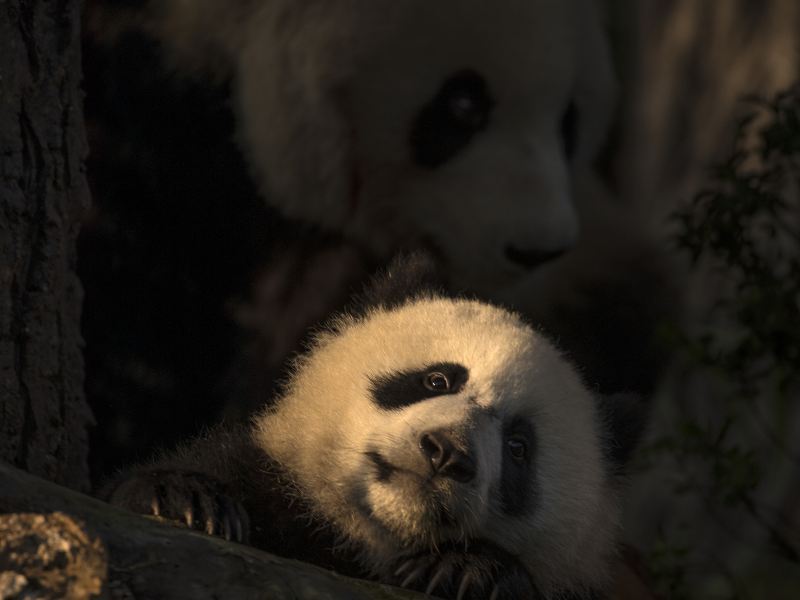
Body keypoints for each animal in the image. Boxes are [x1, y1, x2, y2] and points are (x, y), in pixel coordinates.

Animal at [106, 255, 644, 596]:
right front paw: (187, 501)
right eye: (436, 379)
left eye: (518, 447)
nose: (447, 452)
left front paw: (463, 569)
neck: (363, 542)